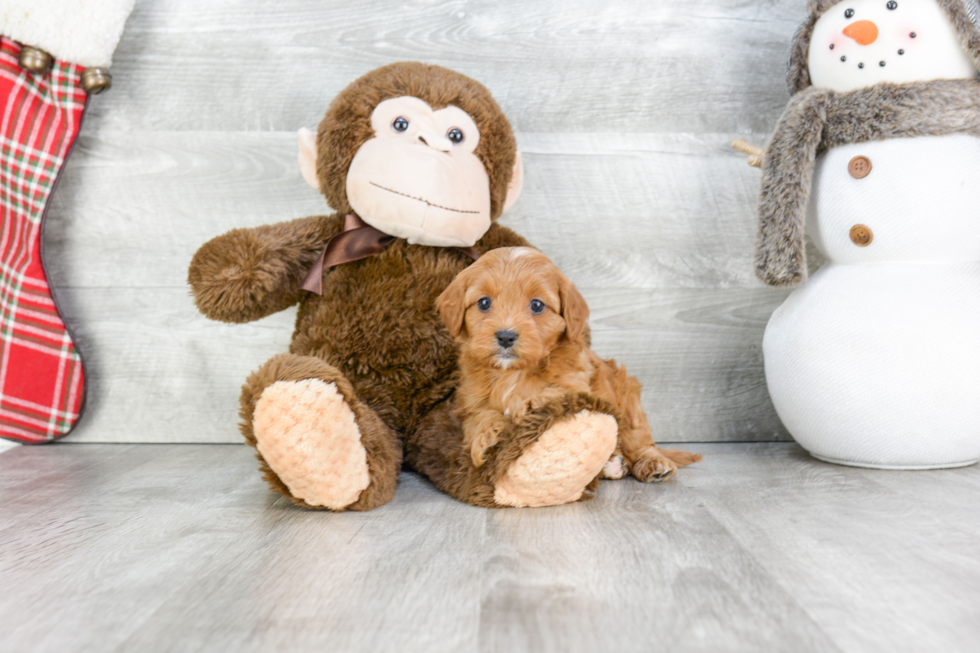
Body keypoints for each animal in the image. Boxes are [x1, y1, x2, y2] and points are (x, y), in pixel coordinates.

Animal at [434, 247, 696, 482]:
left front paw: (531, 404)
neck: (513, 373)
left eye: (537, 305)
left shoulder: (581, 383)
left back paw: (653, 463)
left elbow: (559, 390)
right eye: (484, 303)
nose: (506, 336)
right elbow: (480, 416)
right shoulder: (469, 403)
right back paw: (611, 465)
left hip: (628, 401)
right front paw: (486, 437)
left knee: (640, 441)